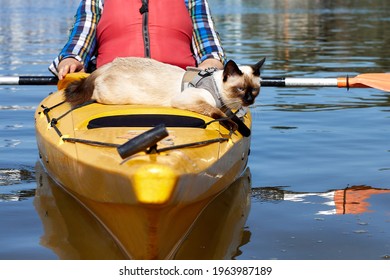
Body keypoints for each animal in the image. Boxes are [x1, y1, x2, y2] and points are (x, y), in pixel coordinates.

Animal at [64, 56, 266, 122]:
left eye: (255, 90)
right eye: (240, 89)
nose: (249, 100)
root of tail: (111, 64)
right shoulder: (190, 100)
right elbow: (217, 112)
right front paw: (230, 121)